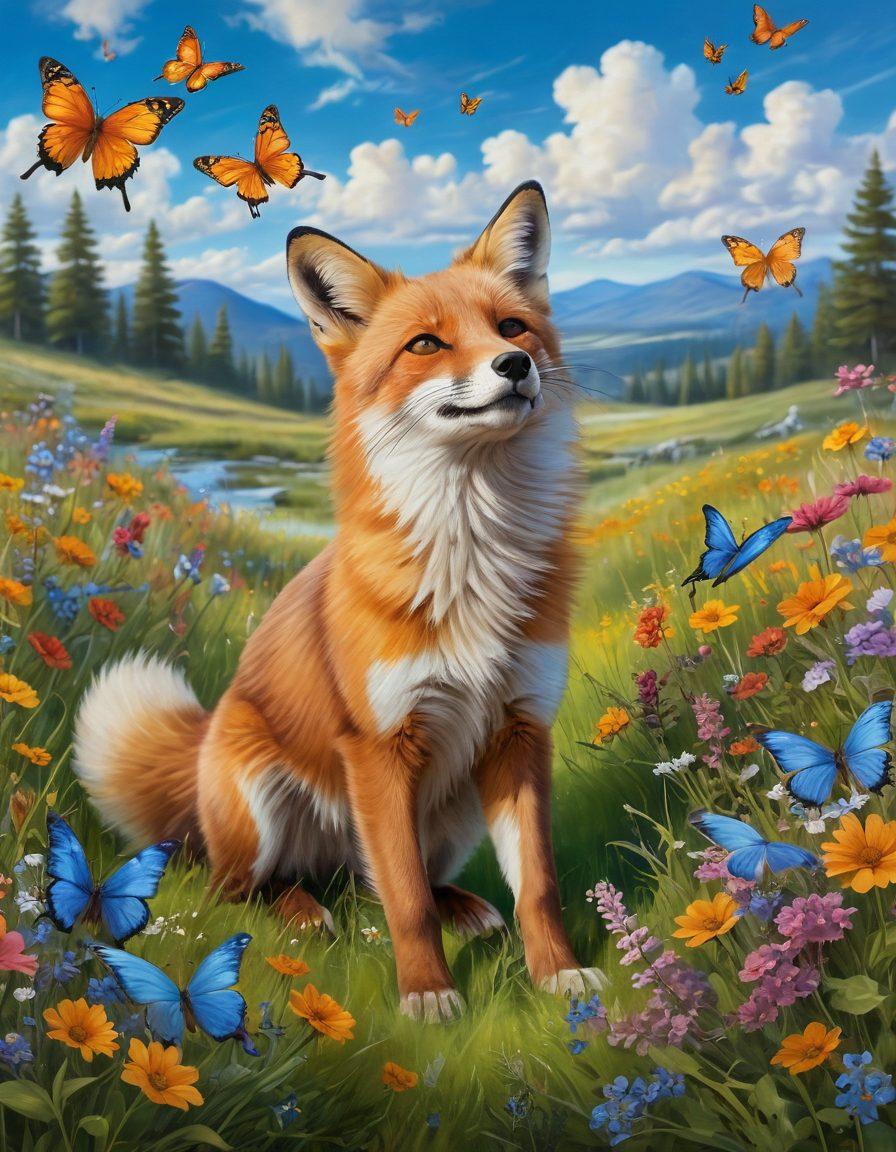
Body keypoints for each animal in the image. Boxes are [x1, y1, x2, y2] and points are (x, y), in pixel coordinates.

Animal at [73, 180, 604, 1020]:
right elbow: (406, 903)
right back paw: (301, 914)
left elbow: (536, 887)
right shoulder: (378, 746)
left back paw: (463, 908)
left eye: (512, 327)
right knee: (245, 889)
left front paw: (559, 978)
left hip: (451, 806)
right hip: (259, 803)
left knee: (376, 880)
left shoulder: (520, 730)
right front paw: (427, 997)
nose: (516, 364)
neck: (472, 553)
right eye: (425, 345)